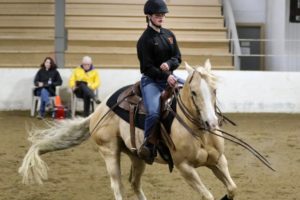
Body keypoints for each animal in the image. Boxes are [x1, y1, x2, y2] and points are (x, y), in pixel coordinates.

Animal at [19, 60, 238, 200]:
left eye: (214, 90)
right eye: (193, 92)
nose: (211, 123)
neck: (199, 133)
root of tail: (98, 111)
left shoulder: (219, 160)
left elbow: (232, 188)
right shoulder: (185, 167)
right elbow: (208, 196)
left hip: (137, 156)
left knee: (134, 183)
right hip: (109, 152)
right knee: (118, 186)